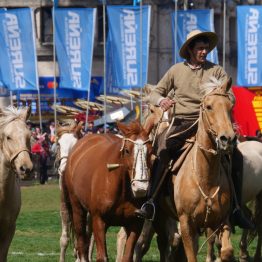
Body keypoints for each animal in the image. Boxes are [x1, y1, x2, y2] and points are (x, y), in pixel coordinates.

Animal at [62, 120, 152, 260]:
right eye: (127, 150)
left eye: (150, 151)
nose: (140, 187)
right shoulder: (99, 220)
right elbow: (101, 256)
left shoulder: (135, 223)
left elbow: (127, 256)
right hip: (77, 209)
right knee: (82, 245)